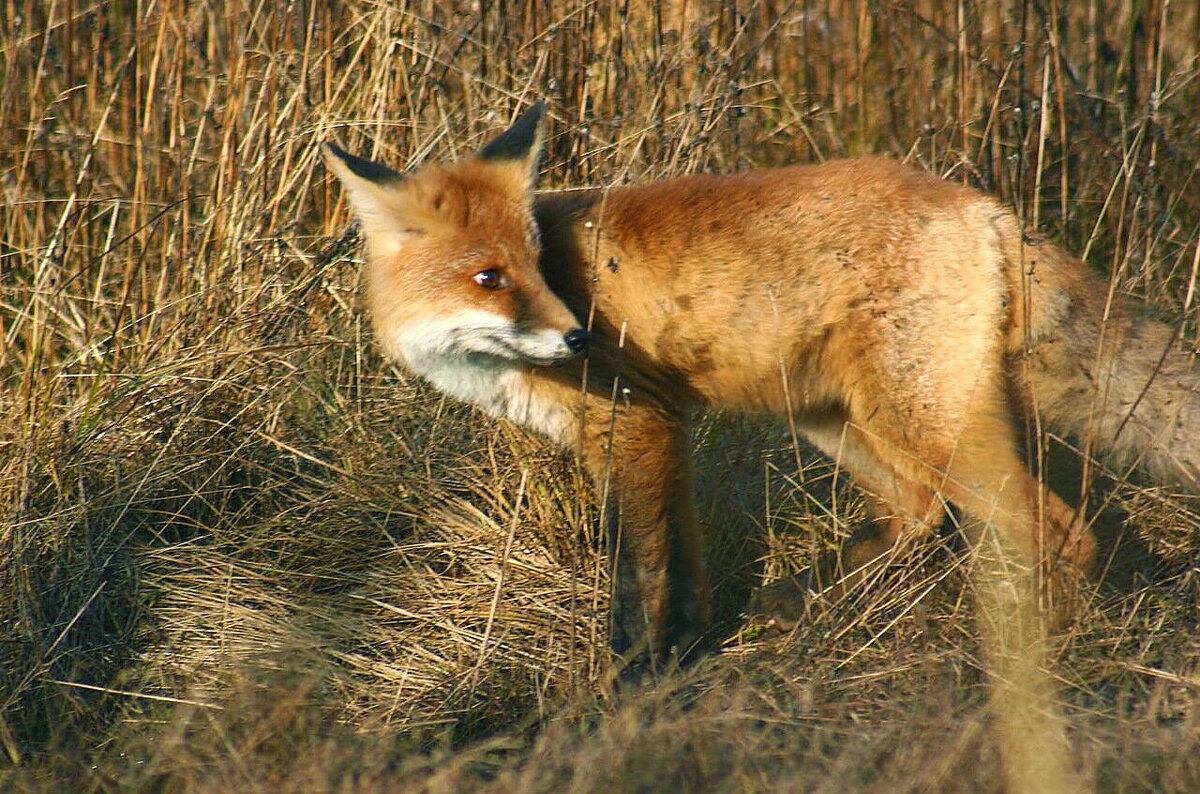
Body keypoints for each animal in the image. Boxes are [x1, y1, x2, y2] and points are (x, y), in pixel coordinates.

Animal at [319, 99, 1200, 671]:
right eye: (490, 277)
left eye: (537, 266)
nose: (578, 337)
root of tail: (985, 206)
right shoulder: (664, 429)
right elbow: (685, 562)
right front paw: (689, 651)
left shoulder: (633, 425)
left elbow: (640, 575)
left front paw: (629, 682)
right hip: (838, 418)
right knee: (917, 511)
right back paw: (804, 603)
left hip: (918, 422)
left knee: (1055, 530)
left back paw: (1049, 655)